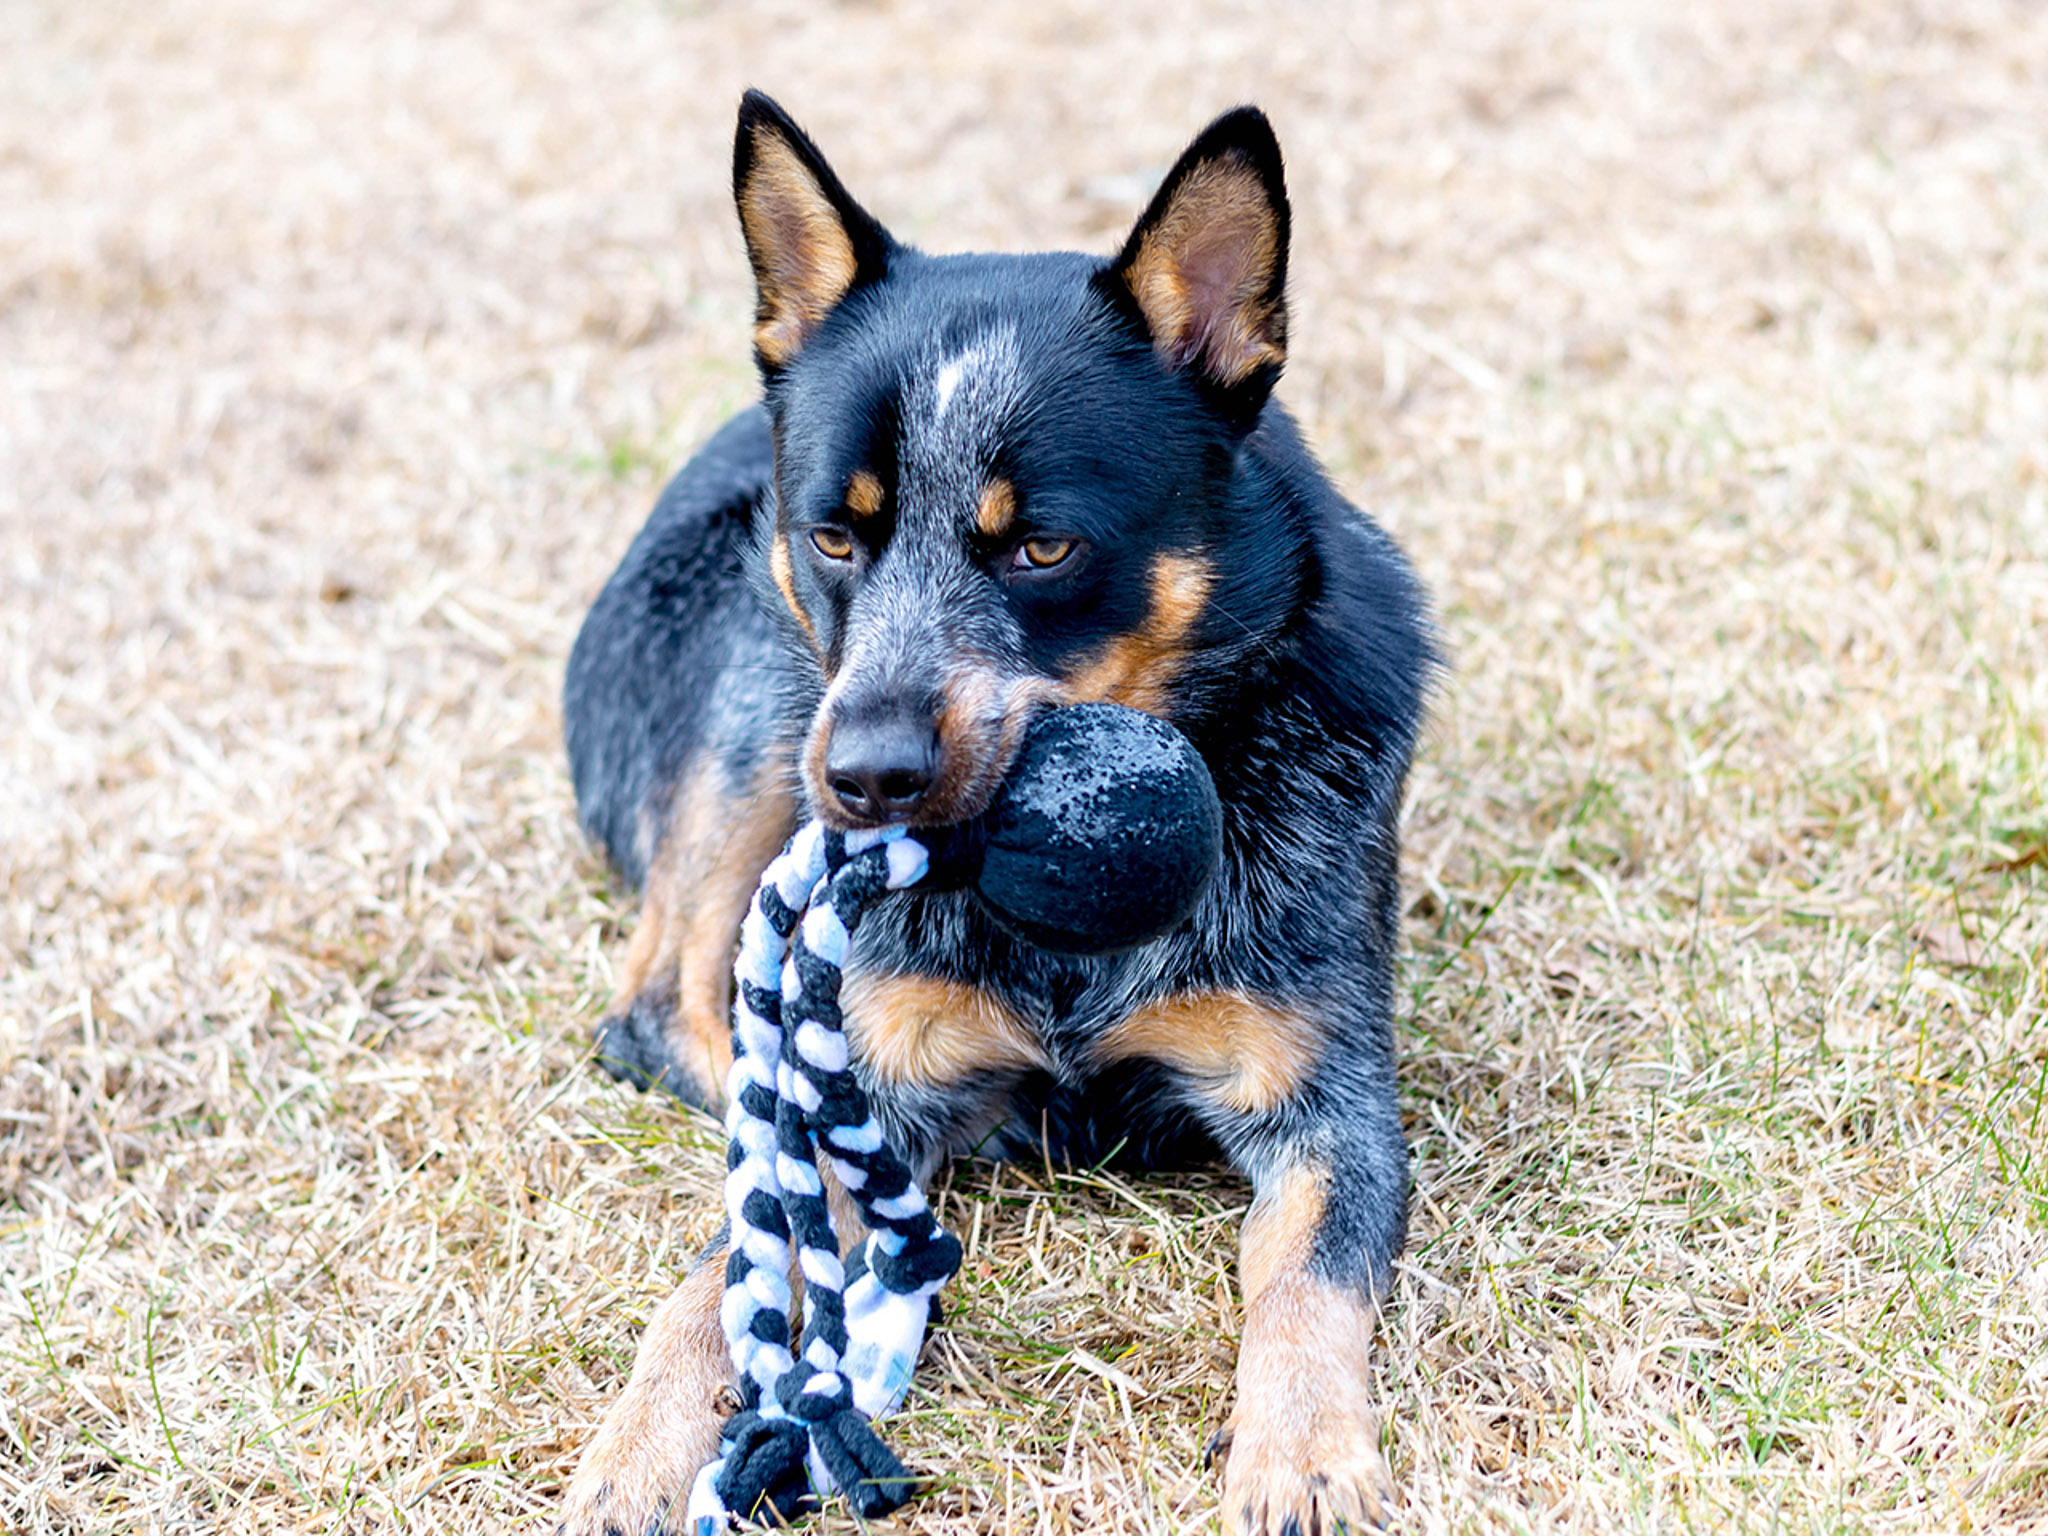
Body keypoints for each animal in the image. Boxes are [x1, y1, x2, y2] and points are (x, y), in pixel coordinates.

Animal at [552, 93, 1433, 1536]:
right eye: (835, 538)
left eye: (1042, 547)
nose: (869, 776)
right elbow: (719, 1273)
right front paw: (646, 1443)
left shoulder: (1325, 1103)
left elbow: (1307, 1285)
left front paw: (1300, 1456)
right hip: (762, 708)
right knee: (670, 1003)